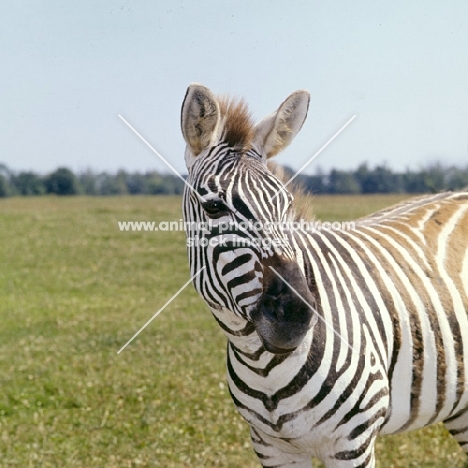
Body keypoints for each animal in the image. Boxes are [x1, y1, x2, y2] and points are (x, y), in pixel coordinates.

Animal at [179, 84, 468, 468]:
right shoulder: (271, 446)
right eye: (213, 207)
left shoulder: (353, 442)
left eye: (286, 205)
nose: (297, 314)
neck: (263, 365)